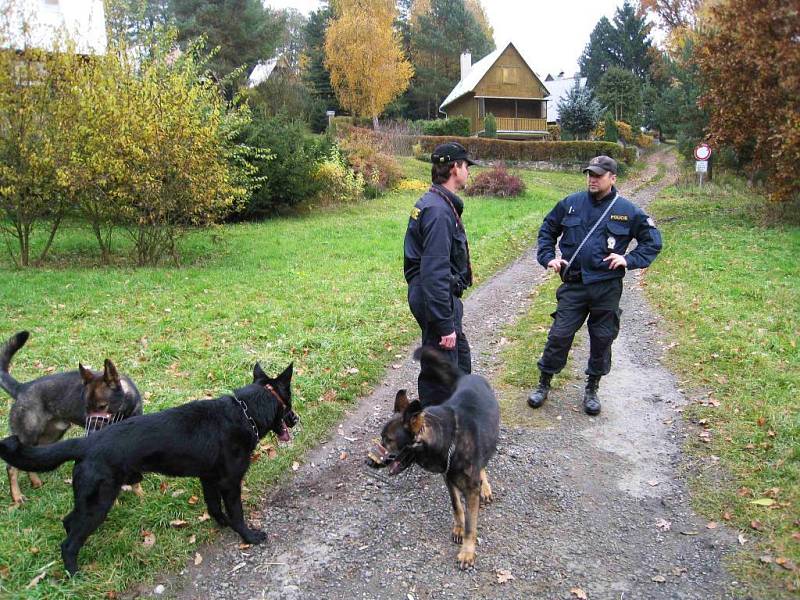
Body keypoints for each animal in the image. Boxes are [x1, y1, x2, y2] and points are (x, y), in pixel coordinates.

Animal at [0, 330, 142, 504]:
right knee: (11, 467)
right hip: (27, 436)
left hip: (49, 437)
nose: (91, 436)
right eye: (86, 408)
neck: (124, 412)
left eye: (102, 407)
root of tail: (22, 388)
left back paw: (35, 482)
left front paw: (140, 496)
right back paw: (17, 496)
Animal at [0, 360, 296, 576]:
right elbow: (236, 513)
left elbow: (214, 508)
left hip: (90, 501)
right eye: (289, 404)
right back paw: (74, 573)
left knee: (69, 522)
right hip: (99, 502)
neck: (245, 411)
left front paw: (221, 524)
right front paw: (248, 535)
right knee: (69, 543)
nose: (295, 419)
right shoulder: (230, 483)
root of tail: (88, 441)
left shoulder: (208, 479)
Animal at [370, 346, 500, 568]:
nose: (368, 462)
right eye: (382, 437)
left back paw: (485, 487)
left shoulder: (470, 490)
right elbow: (456, 507)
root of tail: (466, 377)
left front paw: (467, 551)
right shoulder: (448, 479)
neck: (448, 440)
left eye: (388, 440)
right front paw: (458, 527)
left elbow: (470, 525)